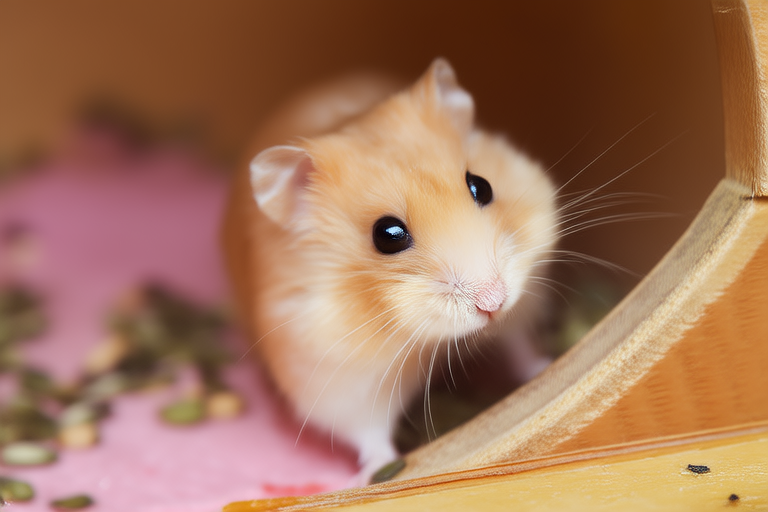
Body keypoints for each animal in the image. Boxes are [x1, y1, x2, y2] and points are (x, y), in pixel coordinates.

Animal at [226, 58, 557, 482]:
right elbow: (368, 432)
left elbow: (518, 343)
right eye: (387, 235)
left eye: (481, 186)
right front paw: (373, 474)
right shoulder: (336, 377)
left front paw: (545, 365)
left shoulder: (521, 304)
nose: (494, 302)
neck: (429, 341)